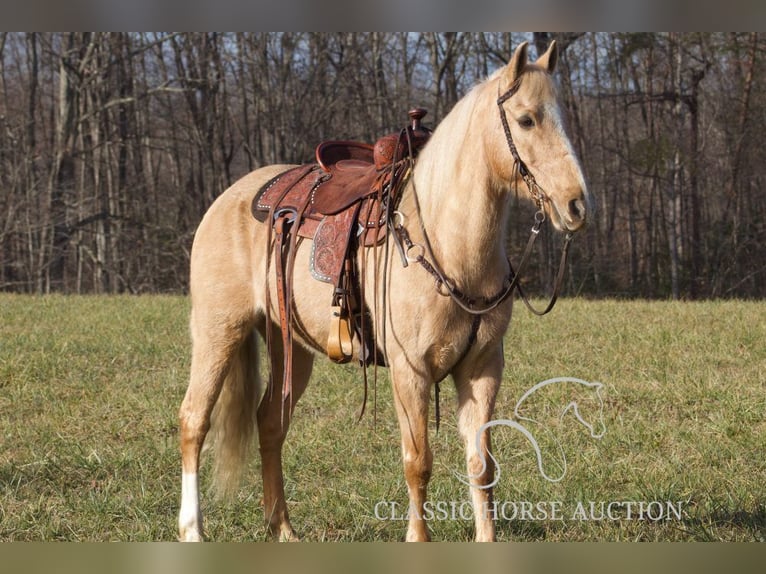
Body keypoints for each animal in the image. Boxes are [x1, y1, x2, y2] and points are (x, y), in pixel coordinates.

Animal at [177, 41, 592, 544]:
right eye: (526, 119)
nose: (576, 205)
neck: (445, 243)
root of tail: (229, 198)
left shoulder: (483, 369)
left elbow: (481, 465)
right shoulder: (409, 372)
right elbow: (418, 463)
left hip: (290, 346)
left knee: (270, 425)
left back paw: (284, 530)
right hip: (219, 331)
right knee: (194, 421)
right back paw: (192, 531)